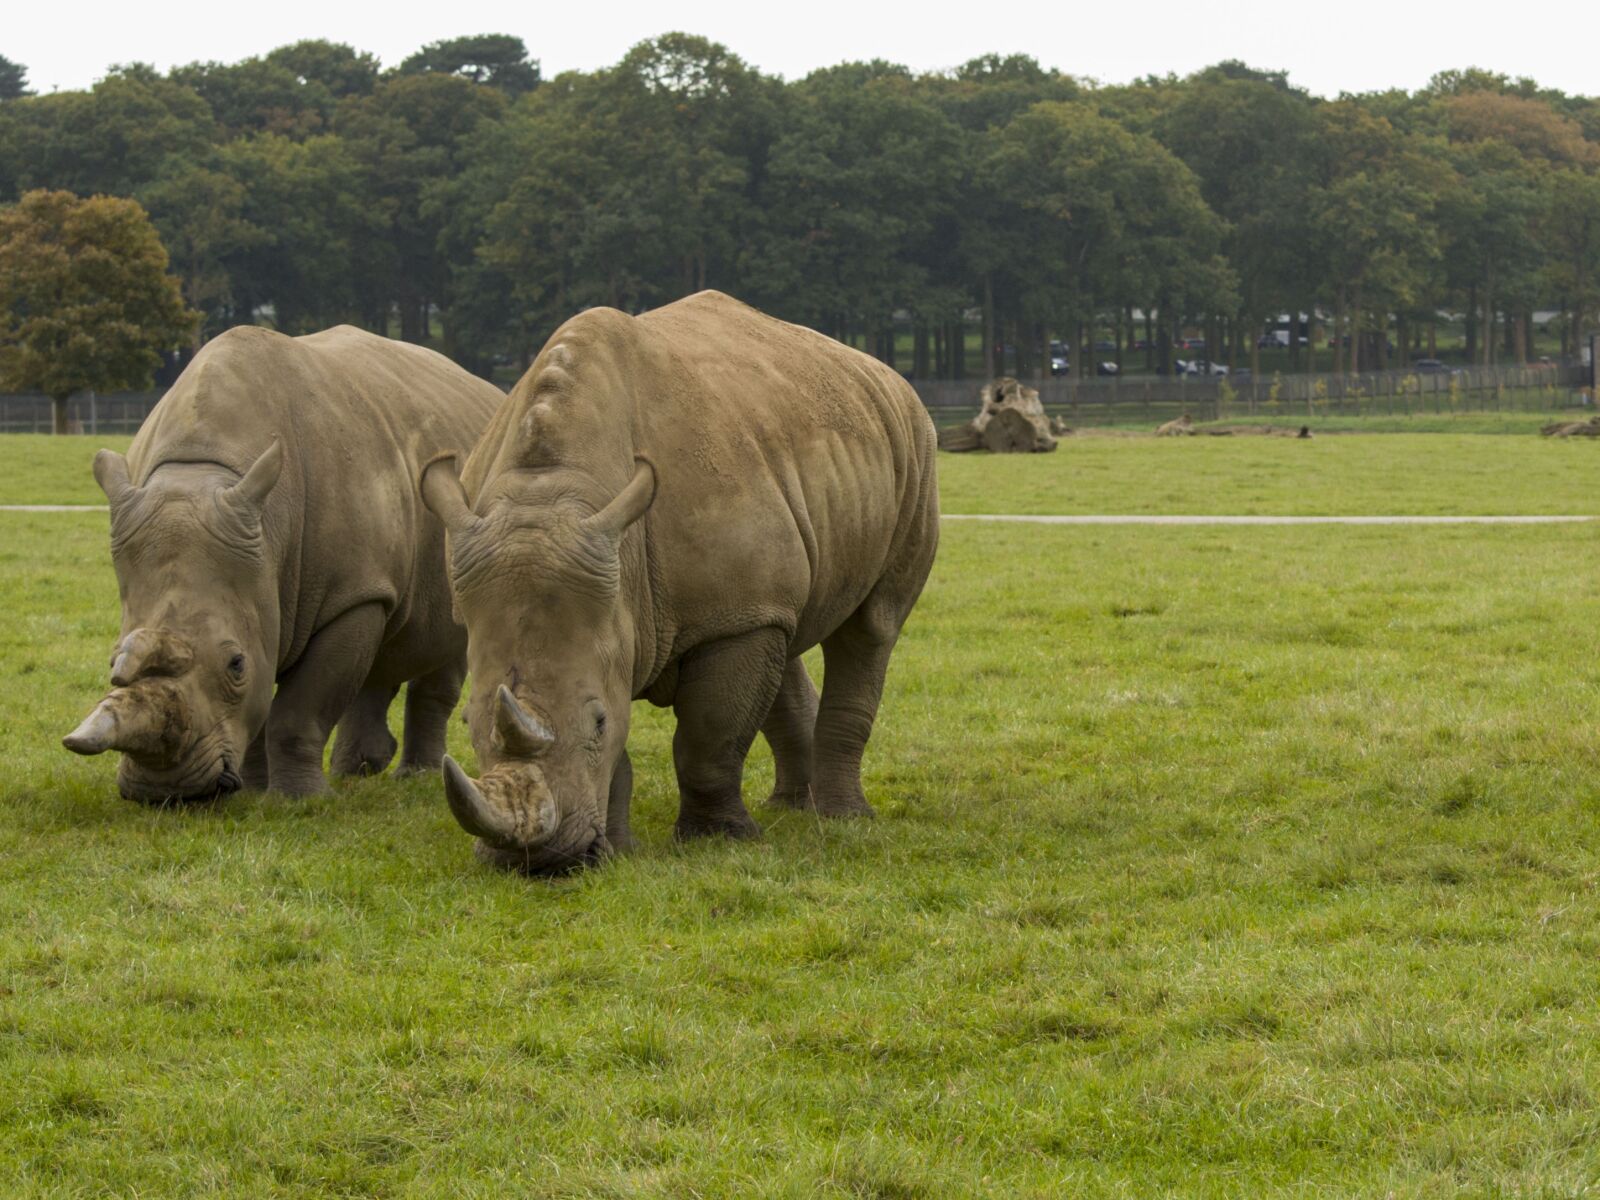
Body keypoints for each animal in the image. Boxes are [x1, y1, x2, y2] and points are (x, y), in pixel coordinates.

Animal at [63, 324, 503, 801]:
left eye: (235, 663)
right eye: (112, 661)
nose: (164, 791)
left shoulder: (350, 595)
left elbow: (299, 708)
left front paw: (301, 800)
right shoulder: (262, 581)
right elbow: (261, 705)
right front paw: (256, 792)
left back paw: (414, 776)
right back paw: (354, 771)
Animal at [419, 291, 939, 872]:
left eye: (596, 722)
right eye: (467, 722)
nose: (535, 863)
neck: (553, 489)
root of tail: (881, 372)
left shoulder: (726, 616)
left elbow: (708, 738)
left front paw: (720, 841)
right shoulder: (631, 614)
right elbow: (626, 747)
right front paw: (618, 850)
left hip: (912, 446)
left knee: (871, 627)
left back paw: (844, 819)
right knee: (786, 629)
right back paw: (789, 808)